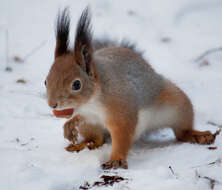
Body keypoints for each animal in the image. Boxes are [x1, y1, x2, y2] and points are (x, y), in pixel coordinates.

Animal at [44, 7, 219, 169]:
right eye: (45, 81)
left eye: (76, 84)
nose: (52, 104)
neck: (91, 102)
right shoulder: (87, 115)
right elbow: (79, 119)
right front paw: (69, 126)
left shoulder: (121, 110)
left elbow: (123, 135)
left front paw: (116, 159)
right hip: (92, 126)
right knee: (97, 139)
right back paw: (83, 143)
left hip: (178, 105)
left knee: (181, 131)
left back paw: (197, 135)